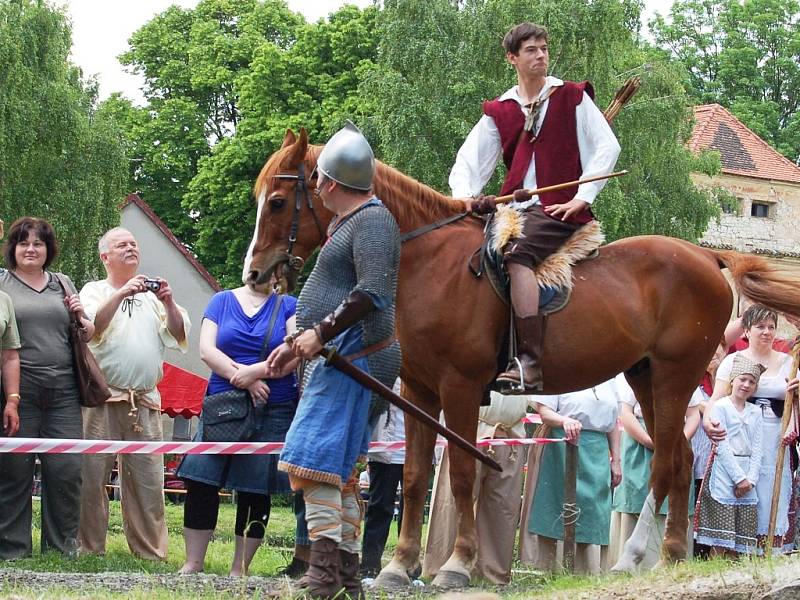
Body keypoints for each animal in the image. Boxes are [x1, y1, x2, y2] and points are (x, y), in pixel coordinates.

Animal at [247, 130, 800, 584]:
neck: (427, 259)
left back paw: (633, 557)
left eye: (277, 201)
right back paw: (669, 555)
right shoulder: (419, 391)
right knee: (682, 460)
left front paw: (456, 564)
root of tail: (708, 255)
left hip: (673, 376)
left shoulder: (460, 388)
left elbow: (462, 473)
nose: (255, 273)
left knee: (666, 463)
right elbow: (417, 475)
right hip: (646, 376)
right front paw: (399, 567)